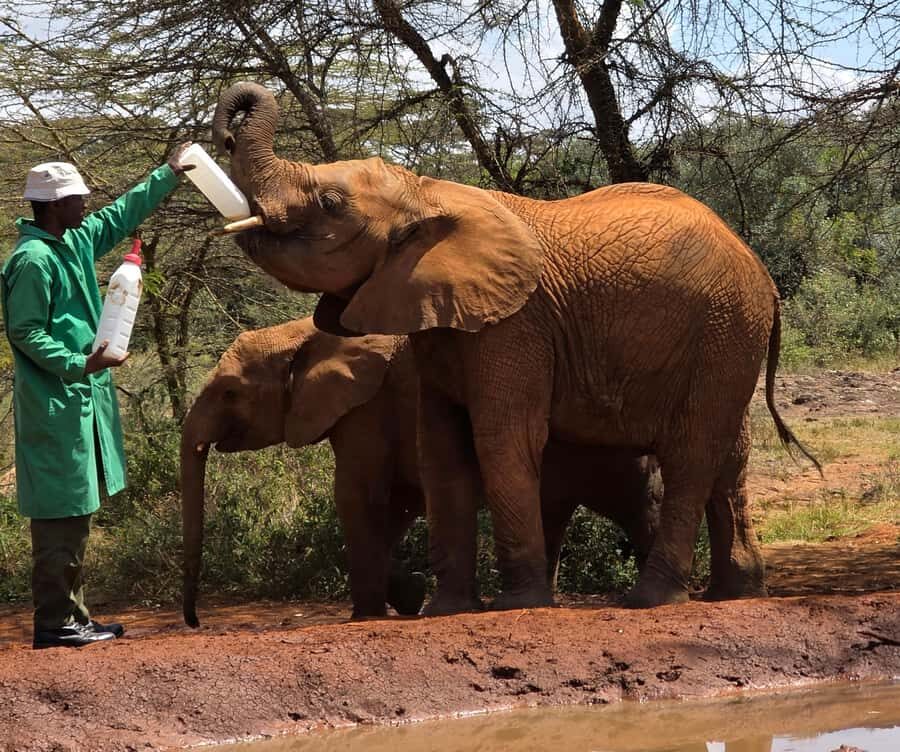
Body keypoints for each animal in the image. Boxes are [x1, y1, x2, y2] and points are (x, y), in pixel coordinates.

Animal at [181, 317, 663, 624]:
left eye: (229, 393)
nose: (195, 622)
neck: (302, 334)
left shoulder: (366, 407)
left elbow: (359, 496)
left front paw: (370, 612)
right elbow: (397, 506)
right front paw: (408, 593)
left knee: (634, 505)